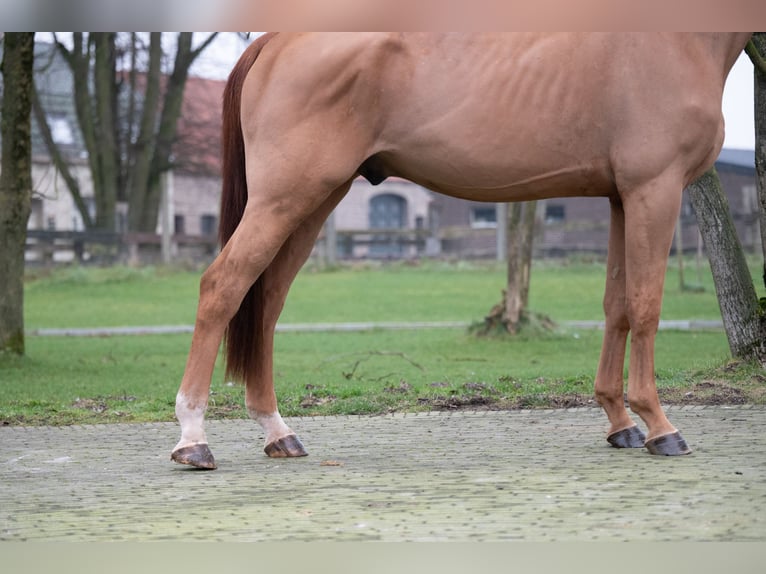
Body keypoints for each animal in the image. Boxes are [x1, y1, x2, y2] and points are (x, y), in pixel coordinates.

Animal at [171, 32, 752, 472]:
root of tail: (275, 39)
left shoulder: (619, 197)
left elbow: (618, 306)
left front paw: (620, 422)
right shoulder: (655, 188)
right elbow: (647, 305)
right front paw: (660, 426)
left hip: (314, 201)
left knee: (266, 301)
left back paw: (278, 432)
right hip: (286, 197)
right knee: (222, 286)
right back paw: (194, 439)